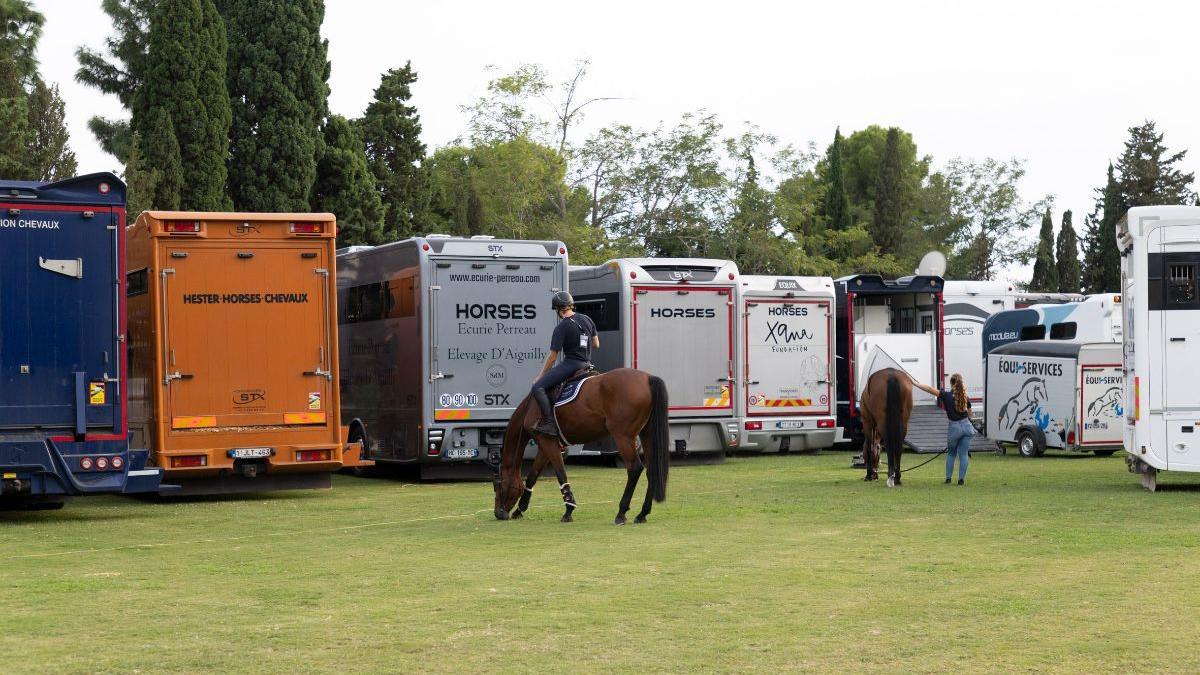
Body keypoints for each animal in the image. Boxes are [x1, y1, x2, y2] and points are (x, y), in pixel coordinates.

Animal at [494, 368, 670, 525]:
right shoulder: (545, 446)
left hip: (623, 436)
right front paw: (520, 510)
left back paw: (621, 513)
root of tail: (647, 378)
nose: (498, 513)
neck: (531, 407)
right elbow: (532, 477)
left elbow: (561, 475)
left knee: (634, 468)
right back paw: (642, 513)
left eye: (498, 486)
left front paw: (568, 510)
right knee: (651, 470)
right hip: (646, 435)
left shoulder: (548, 443)